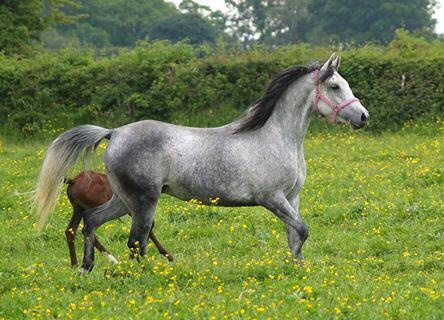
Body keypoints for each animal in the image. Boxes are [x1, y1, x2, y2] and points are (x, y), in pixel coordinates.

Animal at [33, 53, 368, 272]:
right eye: (335, 86)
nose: (363, 117)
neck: (276, 136)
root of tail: (114, 132)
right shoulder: (271, 198)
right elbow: (302, 230)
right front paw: (290, 267)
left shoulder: (291, 198)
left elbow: (294, 233)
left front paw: (298, 269)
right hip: (143, 201)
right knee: (136, 240)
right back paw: (147, 276)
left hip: (123, 200)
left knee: (92, 222)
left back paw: (86, 268)